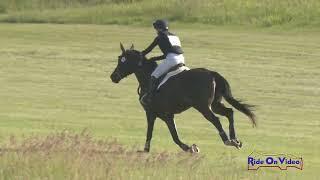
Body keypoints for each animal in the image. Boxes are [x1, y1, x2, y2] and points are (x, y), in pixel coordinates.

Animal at [110, 43, 258, 153]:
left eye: (121, 61)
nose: (113, 77)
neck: (147, 79)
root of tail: (211, 73)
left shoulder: (153, 113)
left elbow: (157, 133)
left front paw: (189, 148)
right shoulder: (167, 115)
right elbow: (172, 135)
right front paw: (190, 148)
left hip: (203, 106)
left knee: (216, 119)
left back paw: (228, 141)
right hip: (215, 104)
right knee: (229, 112)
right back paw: (235, 140)